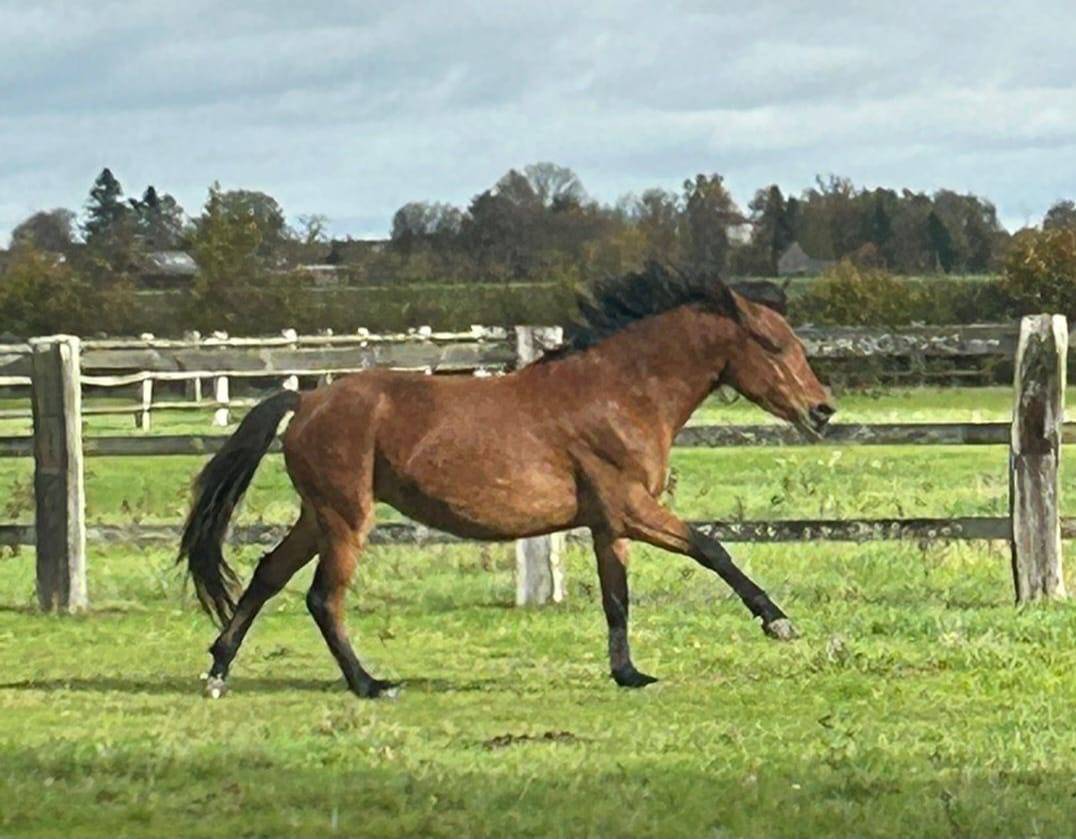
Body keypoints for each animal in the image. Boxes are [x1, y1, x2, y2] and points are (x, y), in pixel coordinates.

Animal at [180, 266, 835, 699]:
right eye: (773, 344)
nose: (823, 410)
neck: (622, 393)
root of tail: (306, 401)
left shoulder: (608, 523)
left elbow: (617, 599)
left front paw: (628, 674)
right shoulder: (630, 506)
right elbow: (712, 548)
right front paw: (780, 624)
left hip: (318, 516)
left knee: (267, 576)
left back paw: (217, 673)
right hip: (346, 518)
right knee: (322, 597)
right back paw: (369, 684)